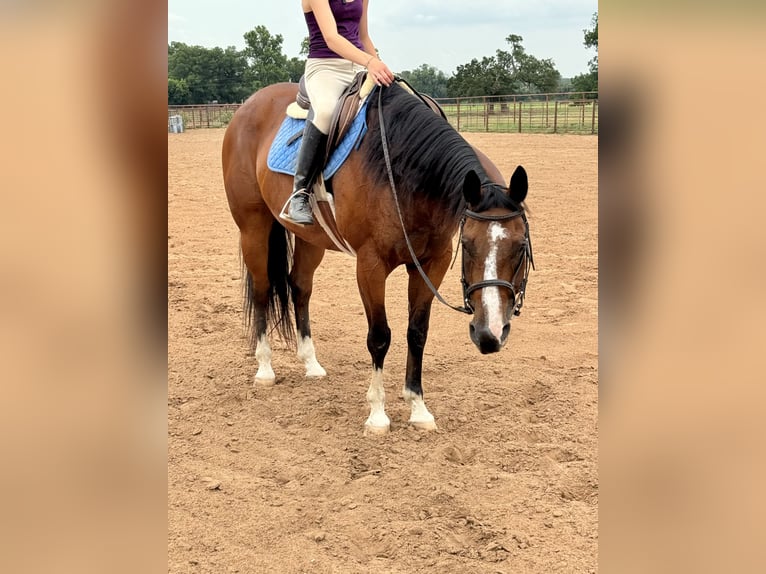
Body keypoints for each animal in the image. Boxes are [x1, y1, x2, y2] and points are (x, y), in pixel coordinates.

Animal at [222, 81, 536, 436]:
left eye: (521, 247)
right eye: (467, 245)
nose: (489, 335)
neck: (405, 172)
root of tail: (250, 105)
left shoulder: (432, 263)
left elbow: (417, 332)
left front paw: (418, 407)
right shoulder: (370, 265)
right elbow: (380, 336)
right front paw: (377, 414)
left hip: (310, 239)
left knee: (299, 287)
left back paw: (311, 363)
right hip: (253, 226)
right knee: (262, 290)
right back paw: (264, 368)